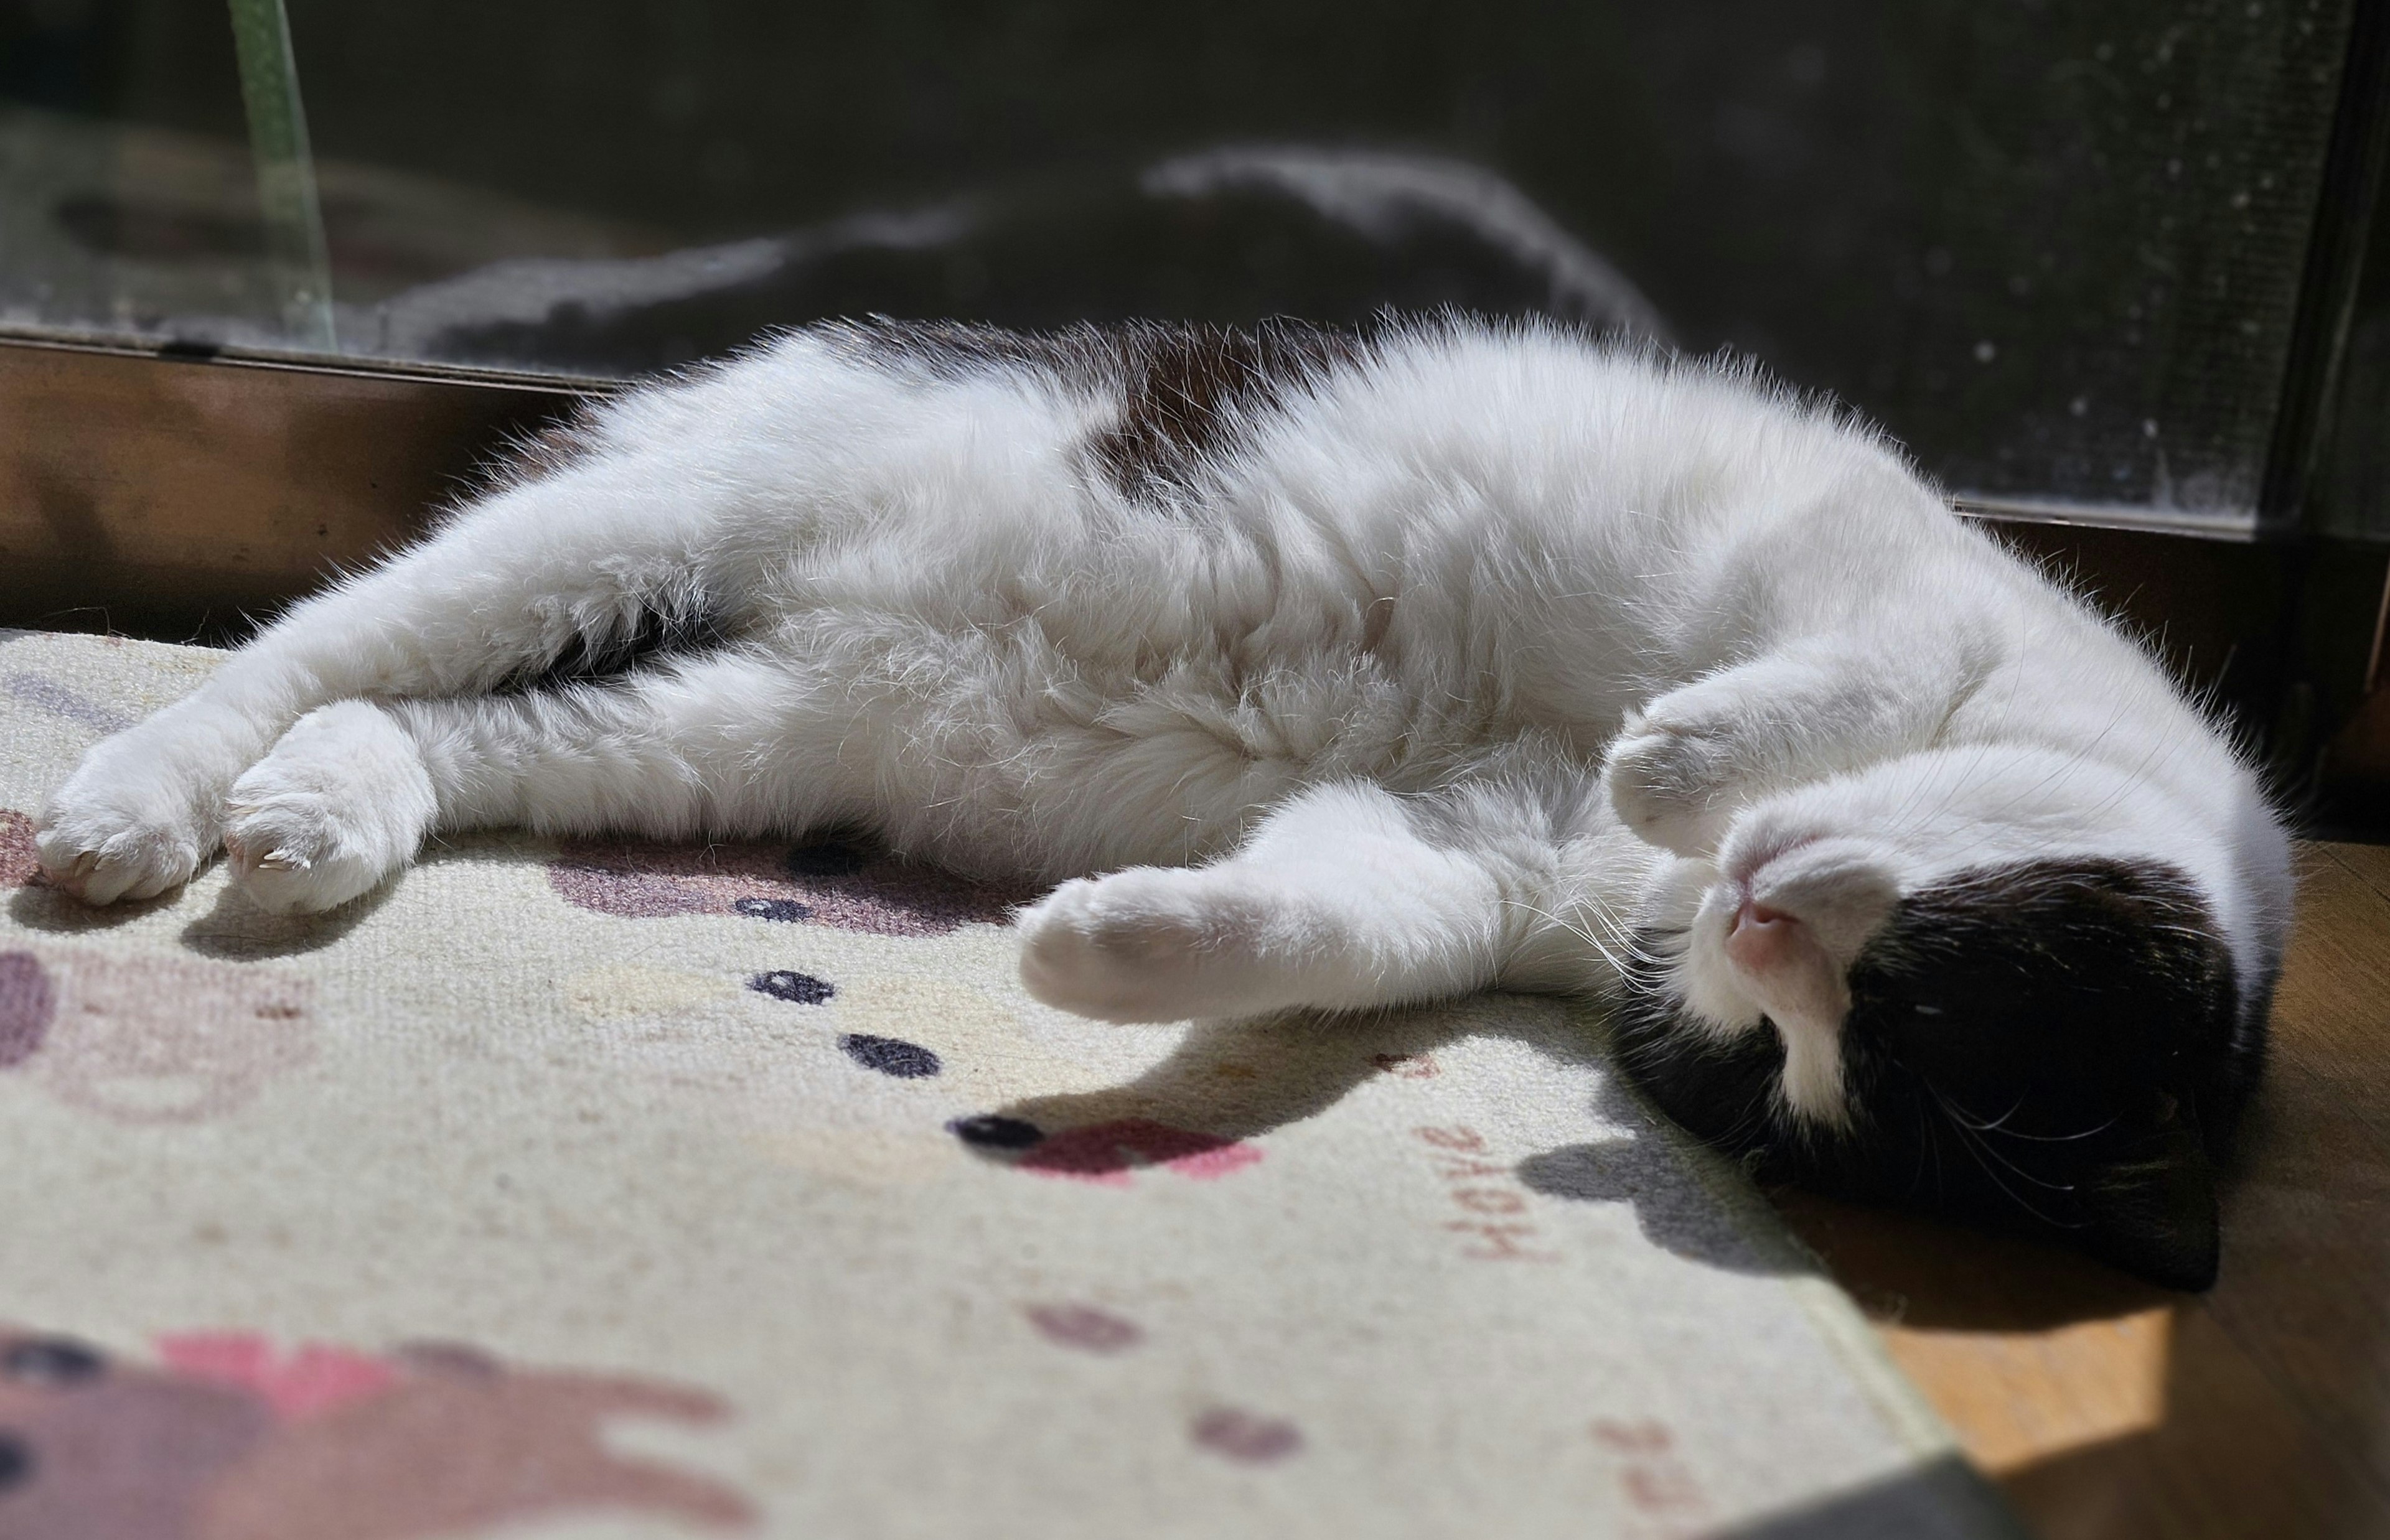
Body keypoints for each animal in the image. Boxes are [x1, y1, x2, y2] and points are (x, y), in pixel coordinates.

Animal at [32, 312, 2275, 1289]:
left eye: (1801, 1054)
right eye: (1917, 984)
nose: (1752, 921)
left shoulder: (1455, 852)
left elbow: (1327, 919)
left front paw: (1104, 953)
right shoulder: (1886, 574)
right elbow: (1850, 662)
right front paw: (1679, 747)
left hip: (727, 723)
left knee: (418, 718)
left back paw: (314, 826)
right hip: (656, 513)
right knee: (302, 642)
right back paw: (129, 804)